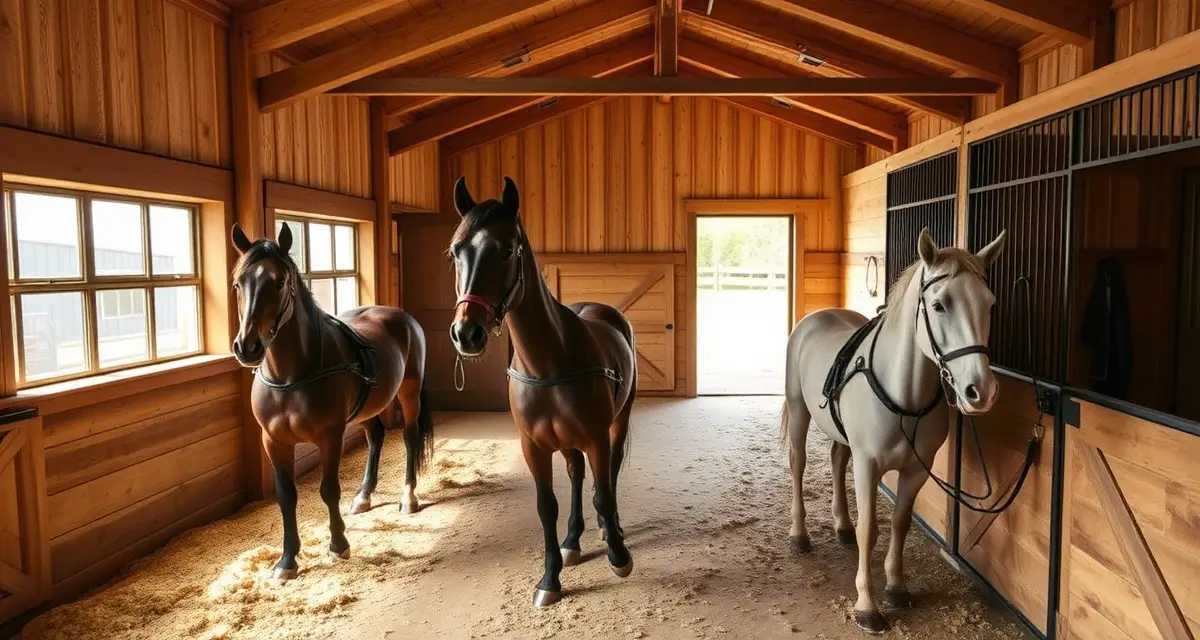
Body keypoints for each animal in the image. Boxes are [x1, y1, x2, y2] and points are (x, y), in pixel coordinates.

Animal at [229, 221, 433, 580]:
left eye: (279, 281)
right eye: (239, 282)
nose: (247, 347)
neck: (290, 377)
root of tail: (400, 317)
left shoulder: (330, 436)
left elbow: (328, 490)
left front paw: (339, 545)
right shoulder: (273, 441)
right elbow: (286, 496)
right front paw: (287, 560)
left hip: (408, 393)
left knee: (409, 438)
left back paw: (408, 498)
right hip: (369, 407)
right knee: (375, 437)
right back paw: (364, 496)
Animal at [447, 176, 638, 607]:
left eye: (507, 250)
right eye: (455, 252)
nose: (467, 333)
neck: (550, 363)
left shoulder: (597, 437)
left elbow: (604, 492)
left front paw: (619, 556)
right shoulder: (533, 445)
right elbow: (546, 506)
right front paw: (550, 577)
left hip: (618, 423)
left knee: (610, 473)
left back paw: (611, 527)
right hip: (566, 442)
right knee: (577, 473)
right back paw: (573, 538)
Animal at [782, 227, 1007, 633]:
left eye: (990, 304)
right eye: (939, 305)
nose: (981, 391)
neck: (906, 396)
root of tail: (815, 318)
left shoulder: (917, 469)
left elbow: (900, 523)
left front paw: (896, 587)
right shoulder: (868, 466)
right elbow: (870, 529)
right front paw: (866, 606)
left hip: (842, 438)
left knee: (837, 460)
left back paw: (841, 526)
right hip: (799, 412)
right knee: (798, 463)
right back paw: (799, 535)